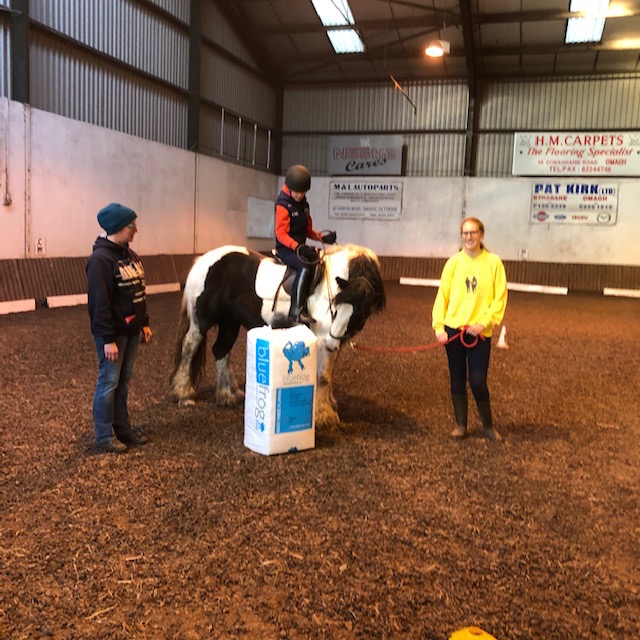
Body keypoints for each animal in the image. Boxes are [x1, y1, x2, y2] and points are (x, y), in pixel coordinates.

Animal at [170, 245, 384, 430]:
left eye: (359, 313)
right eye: (336, 307)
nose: (332, 344)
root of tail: (203, 260)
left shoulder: (337, 341)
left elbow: (328, 375)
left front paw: (329, 405)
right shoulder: (323, 338)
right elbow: (323, 376)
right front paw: (324, 417)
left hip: (230, 321)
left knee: (221, 350)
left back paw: (228, 395)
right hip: (201, 321)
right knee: (189, 348)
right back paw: (183, 394)